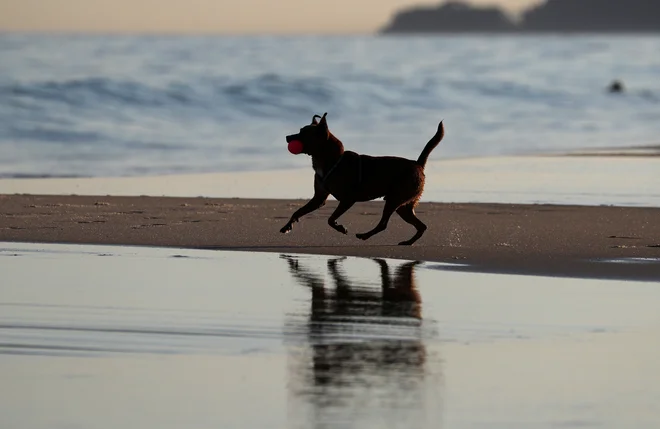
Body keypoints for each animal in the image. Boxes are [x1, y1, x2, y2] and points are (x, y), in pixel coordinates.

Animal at [278, 112, 444, 246]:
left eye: (303, 133)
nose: (287, 137)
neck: (332, 160)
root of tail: (418, 164)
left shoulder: (348, 199)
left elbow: (330, 219)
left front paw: (340, 227)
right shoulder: (319, 198)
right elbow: (298, 211)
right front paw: (287, 226)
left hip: (395, 199)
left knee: (384, 224)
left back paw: (365, 235)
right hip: (403, 206)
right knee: (420, 225)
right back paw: (408, 242)